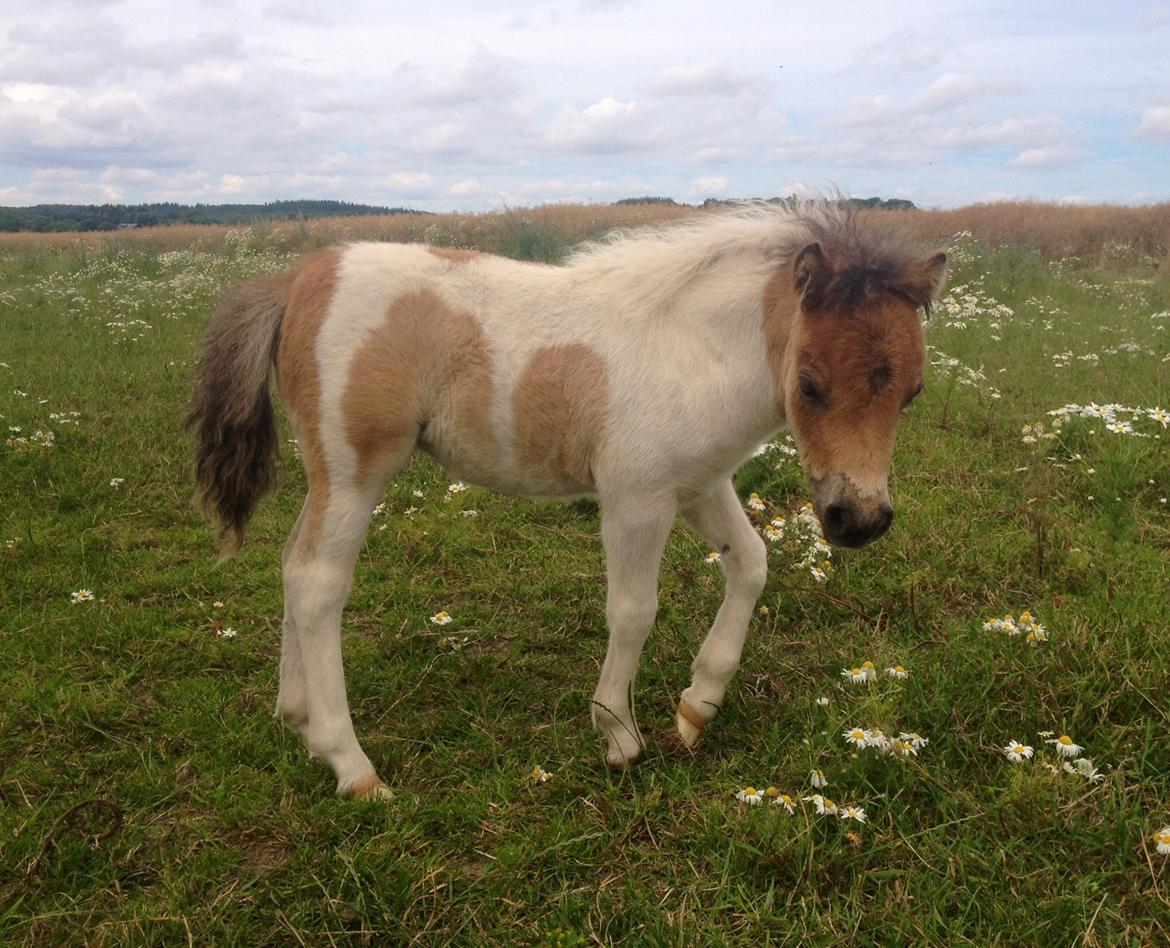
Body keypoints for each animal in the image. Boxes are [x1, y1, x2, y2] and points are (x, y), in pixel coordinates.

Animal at [187, 203, 945, 795]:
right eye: (811, 384)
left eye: (912, 392)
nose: (859, 521)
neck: (693, 349)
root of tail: (294, 280)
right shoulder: (637, 497)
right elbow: (634, 612)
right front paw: (619, 734)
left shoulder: (700, 484)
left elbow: (752, 564)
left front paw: (697, 708)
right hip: (354, 471)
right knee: (319, 584)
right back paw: (351, 765)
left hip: (327, 477)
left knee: (293, 565)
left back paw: (296, 718)